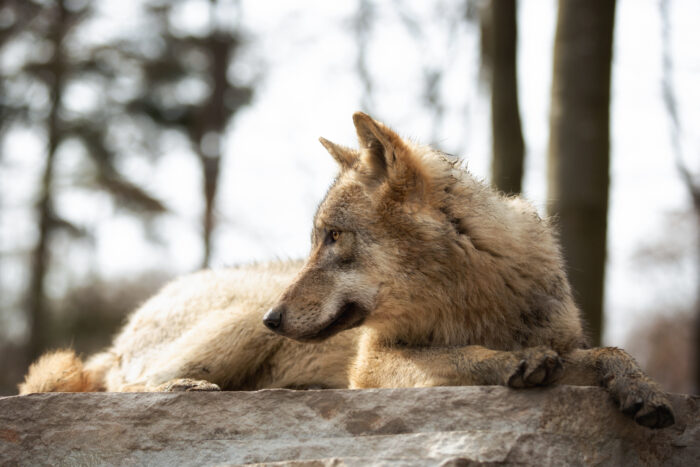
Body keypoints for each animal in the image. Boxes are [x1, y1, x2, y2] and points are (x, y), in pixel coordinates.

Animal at [20, 112, 674, 429]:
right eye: (314, 241)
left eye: (333, 238)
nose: (276, 317)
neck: (473, 298)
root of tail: (123, 333)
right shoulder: (374, 363)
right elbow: (464, 358)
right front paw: (511, 361)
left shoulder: (569, 341)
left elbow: (608, 352)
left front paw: (642, 389)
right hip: (234, 326)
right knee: (118, 388)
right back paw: (189, 389)